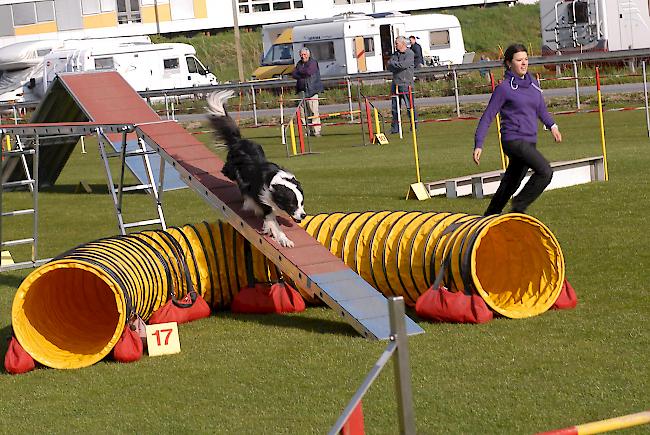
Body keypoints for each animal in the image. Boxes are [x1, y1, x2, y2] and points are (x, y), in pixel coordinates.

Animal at [206, 90, 306, 247]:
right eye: (292, 204)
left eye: (301, 203)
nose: (303, 215)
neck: (275, 185)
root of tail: (239, 141)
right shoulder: (264, 202)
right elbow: (274, 224)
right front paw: (284, 240)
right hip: (232, 169)